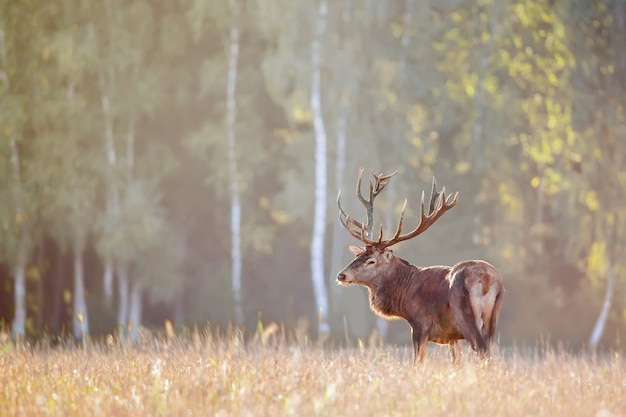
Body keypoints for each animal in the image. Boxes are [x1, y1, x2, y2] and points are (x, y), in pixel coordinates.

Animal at [336, 167, 502, 362]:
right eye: (358, 255)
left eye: (371, 261)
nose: (341, 275)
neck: (403, 295)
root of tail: (487, 278)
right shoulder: (451, 336)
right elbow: (456, 361)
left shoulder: (420, 324)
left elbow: (417, 362)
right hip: (493, 319)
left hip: (466, 315)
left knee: (483, 352)